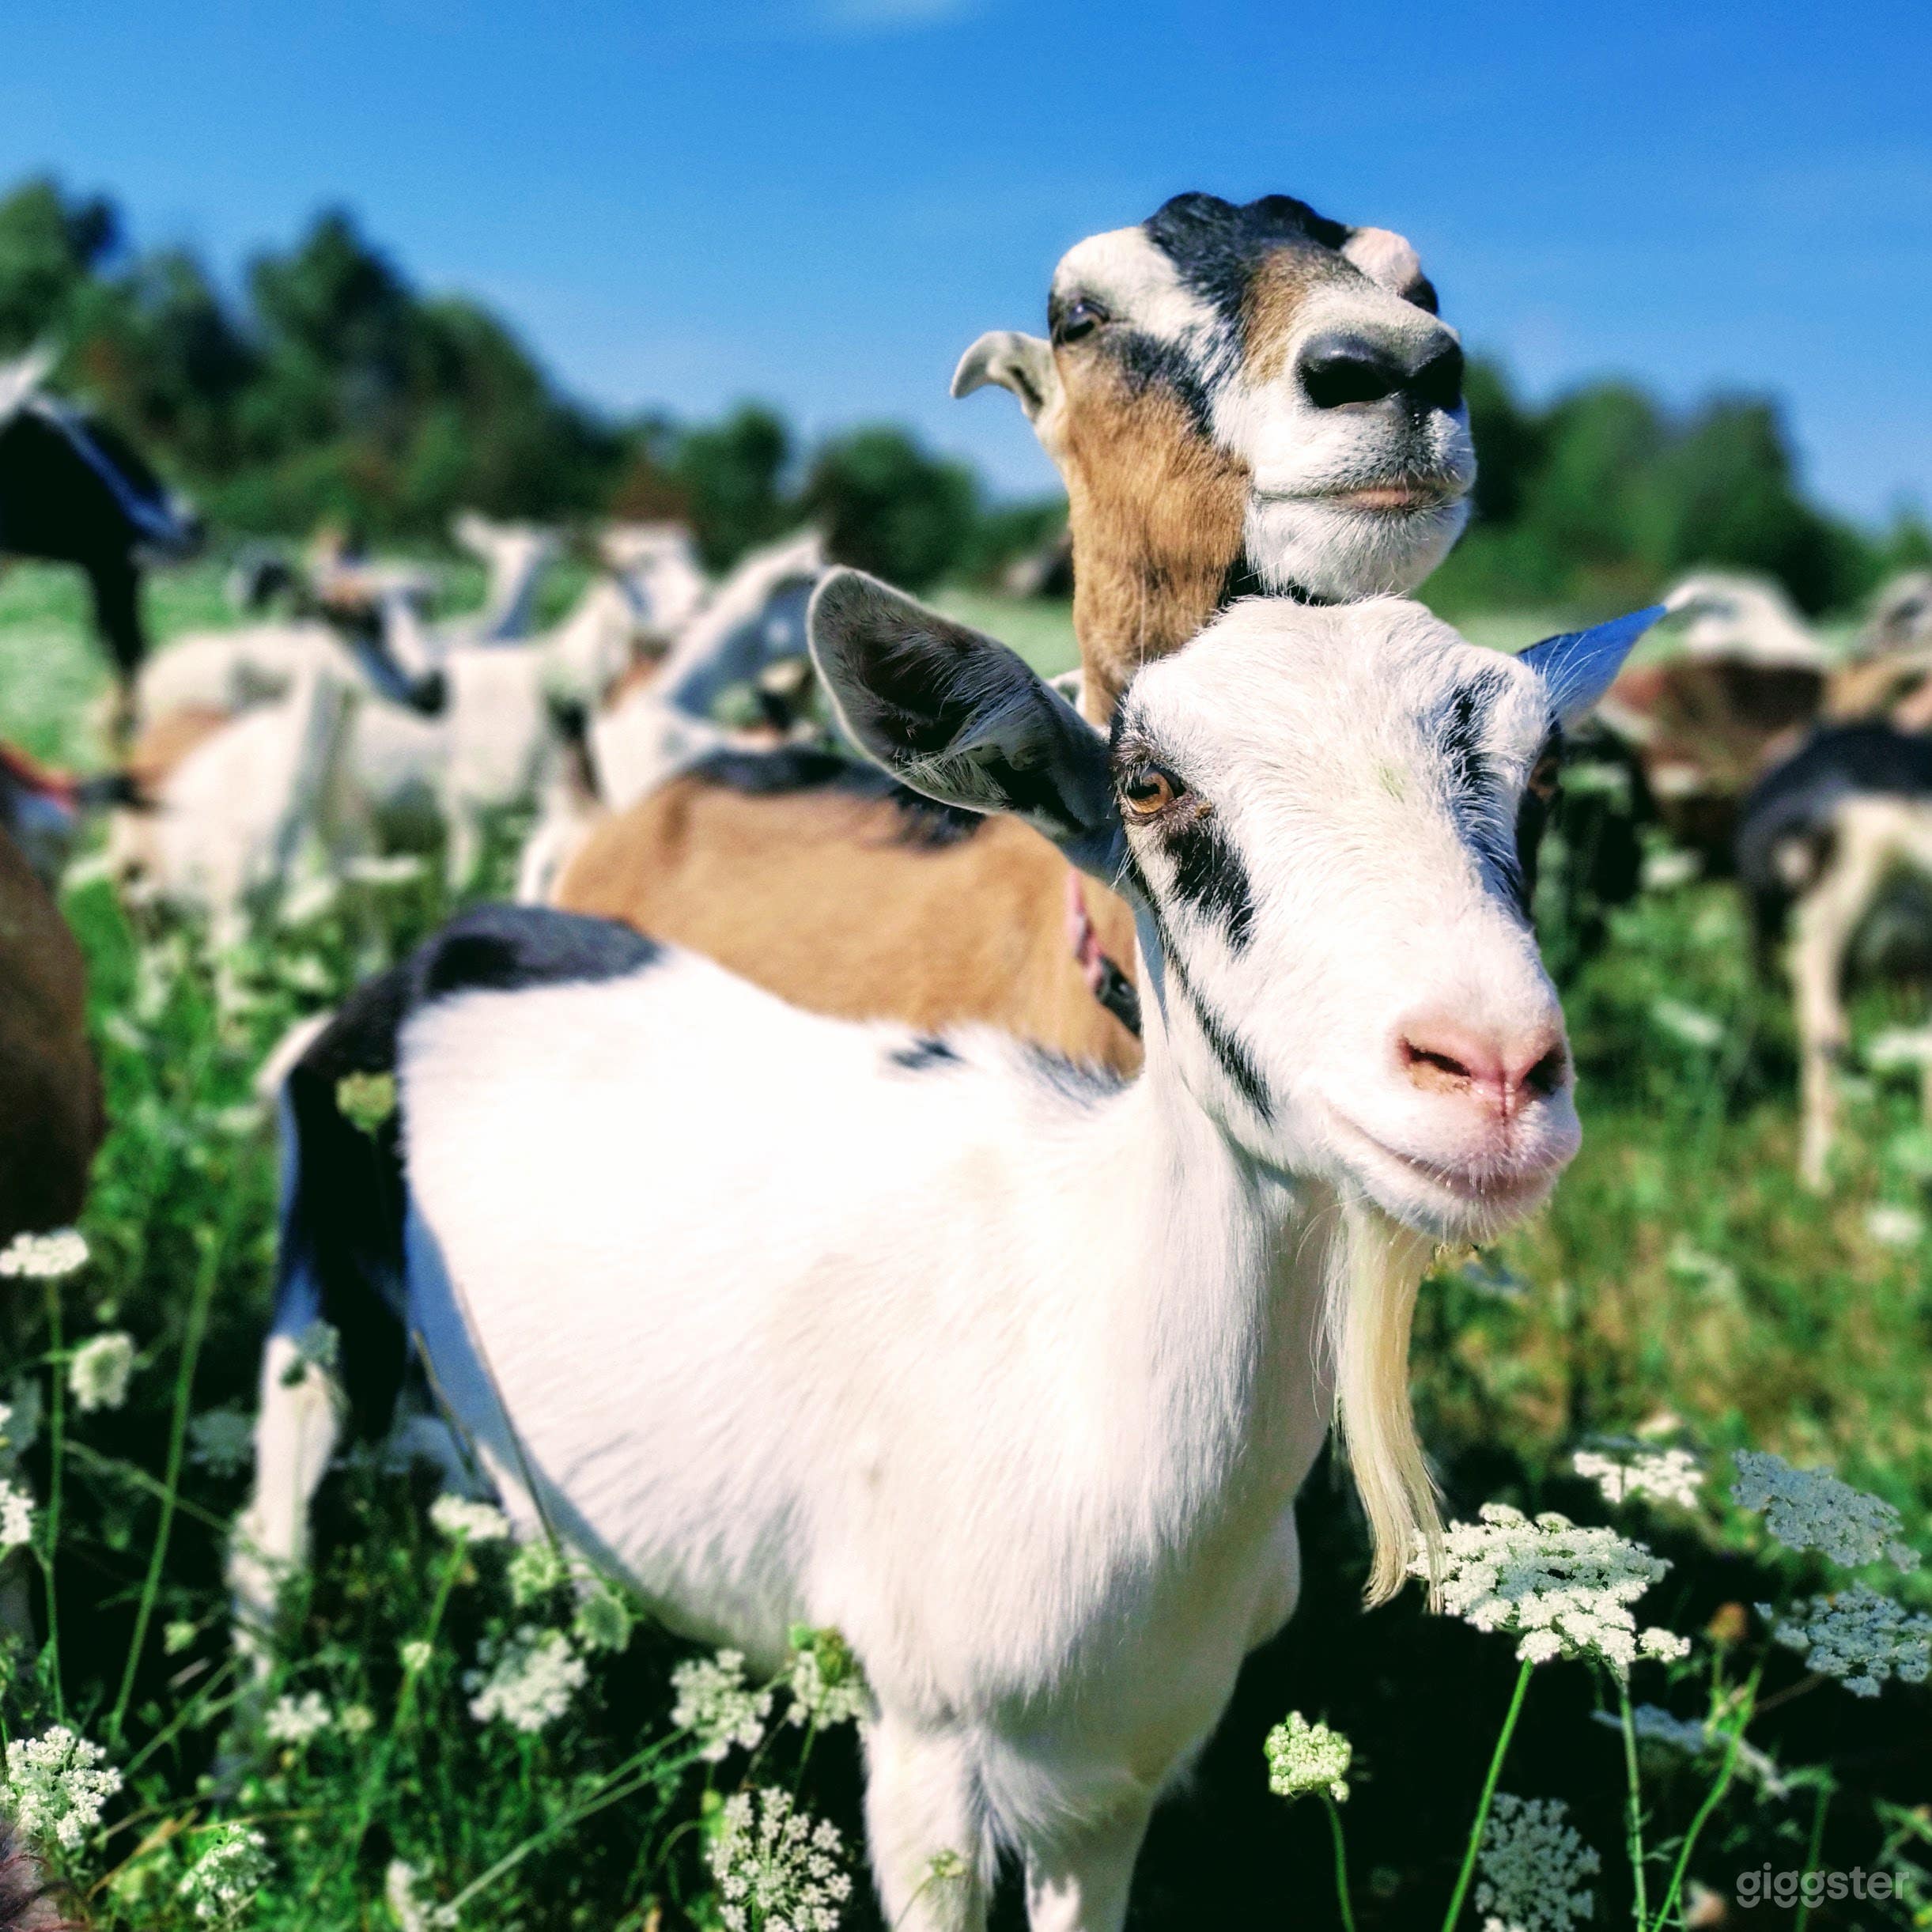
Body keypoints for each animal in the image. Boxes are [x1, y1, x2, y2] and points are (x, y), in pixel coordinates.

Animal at [235, 576, 1654, 1930]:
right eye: (1147, 783)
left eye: (1541, 776)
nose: (1491, 1070)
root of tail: (429, 958)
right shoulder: (923, 1745)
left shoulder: (1113, 1777)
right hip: (319, 1307)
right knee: (272, 1521)